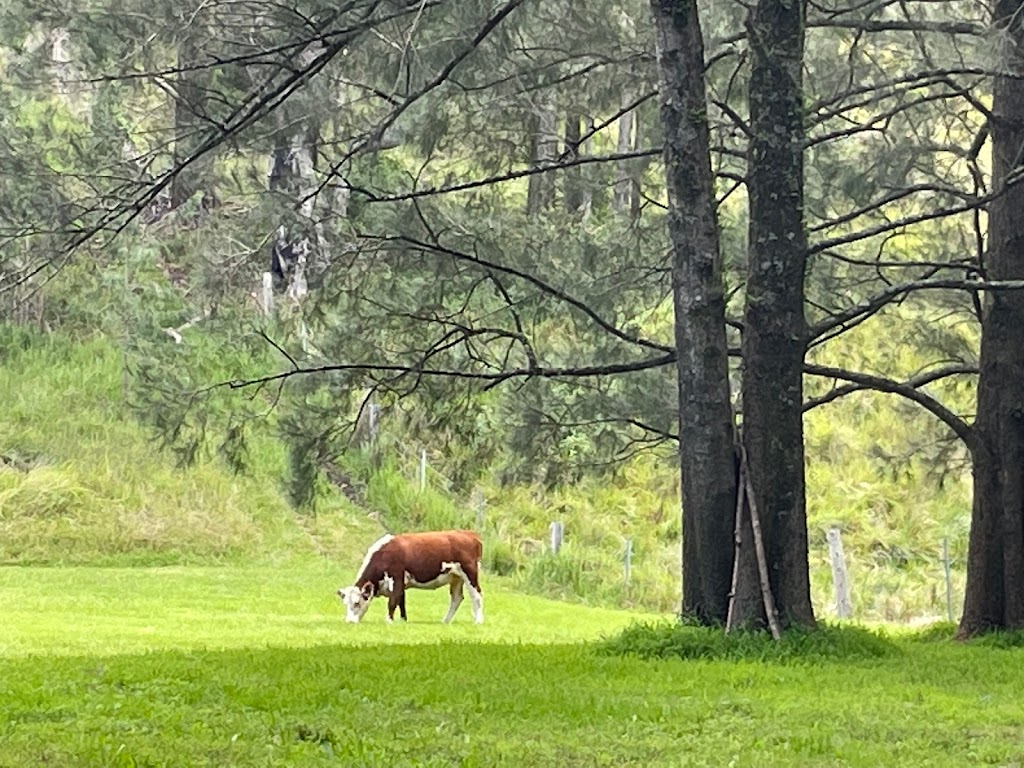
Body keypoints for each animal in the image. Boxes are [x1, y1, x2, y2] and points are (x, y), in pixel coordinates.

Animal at [333, 536, 481, 626]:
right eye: (345, 604)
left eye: (357, 603)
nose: (349, 621)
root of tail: (469, 534)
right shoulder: (401, 584)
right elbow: (401, 602)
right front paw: (403, 621)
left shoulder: (397, 578)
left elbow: (392, 602)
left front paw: (389, 621)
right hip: (456, 578)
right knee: (457, 598)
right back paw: (445, 621)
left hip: (470, 573)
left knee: (477, 596)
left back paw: (478, 621)